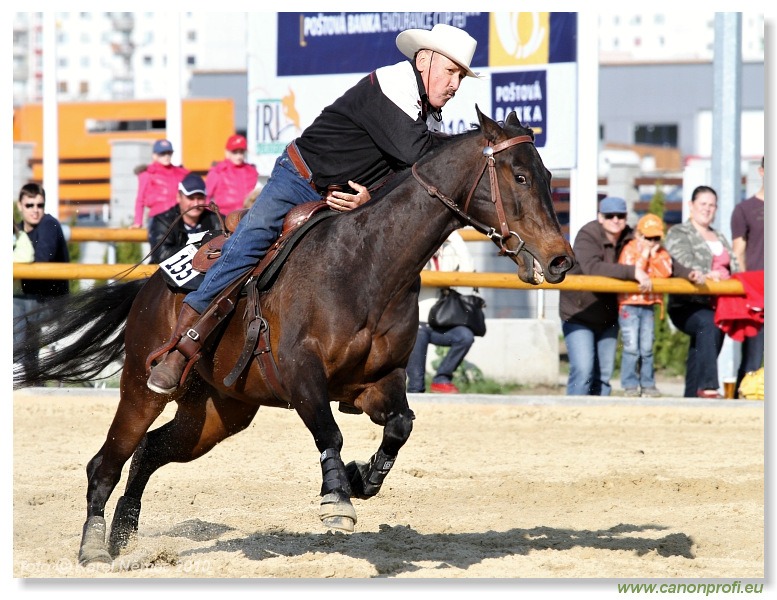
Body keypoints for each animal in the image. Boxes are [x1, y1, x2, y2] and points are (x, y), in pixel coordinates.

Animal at [12, 105, 572, 564]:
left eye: (548, 175)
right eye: (520, 175)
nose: (560, 260)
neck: (367, 263)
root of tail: (153, 286)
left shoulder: (380, 381)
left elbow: (400, 426)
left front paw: (361, 477)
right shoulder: (301, 374)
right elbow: (330, 431)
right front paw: (337, 499)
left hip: (216, 413)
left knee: (148, 452)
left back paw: (124, 538)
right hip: (142, 387)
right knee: (107, 460)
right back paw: (93, 549)